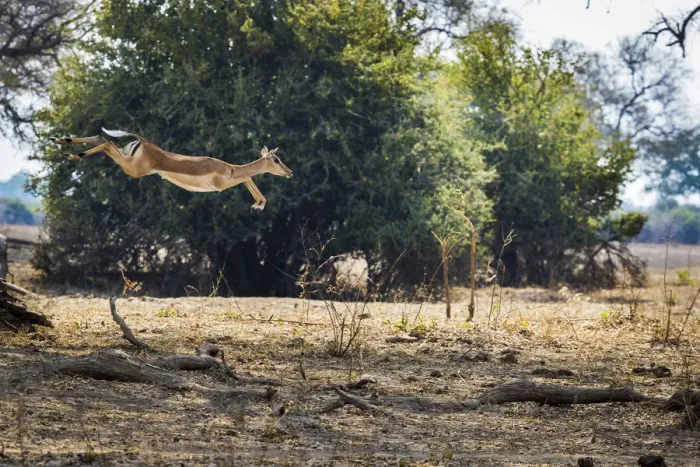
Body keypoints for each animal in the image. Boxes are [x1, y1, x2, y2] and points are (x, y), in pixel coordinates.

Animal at [49, 128, 293, 211]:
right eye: (277, 159)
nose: (290, 172)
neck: (229, 168)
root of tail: (143, 142)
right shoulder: (221, 185)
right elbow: (247, 178)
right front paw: (259, 204)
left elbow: (248, 179)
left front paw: (257, 204)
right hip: (132, 169)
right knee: (107, 142)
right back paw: (71, 153)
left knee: (102, 138)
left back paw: (60, 142)